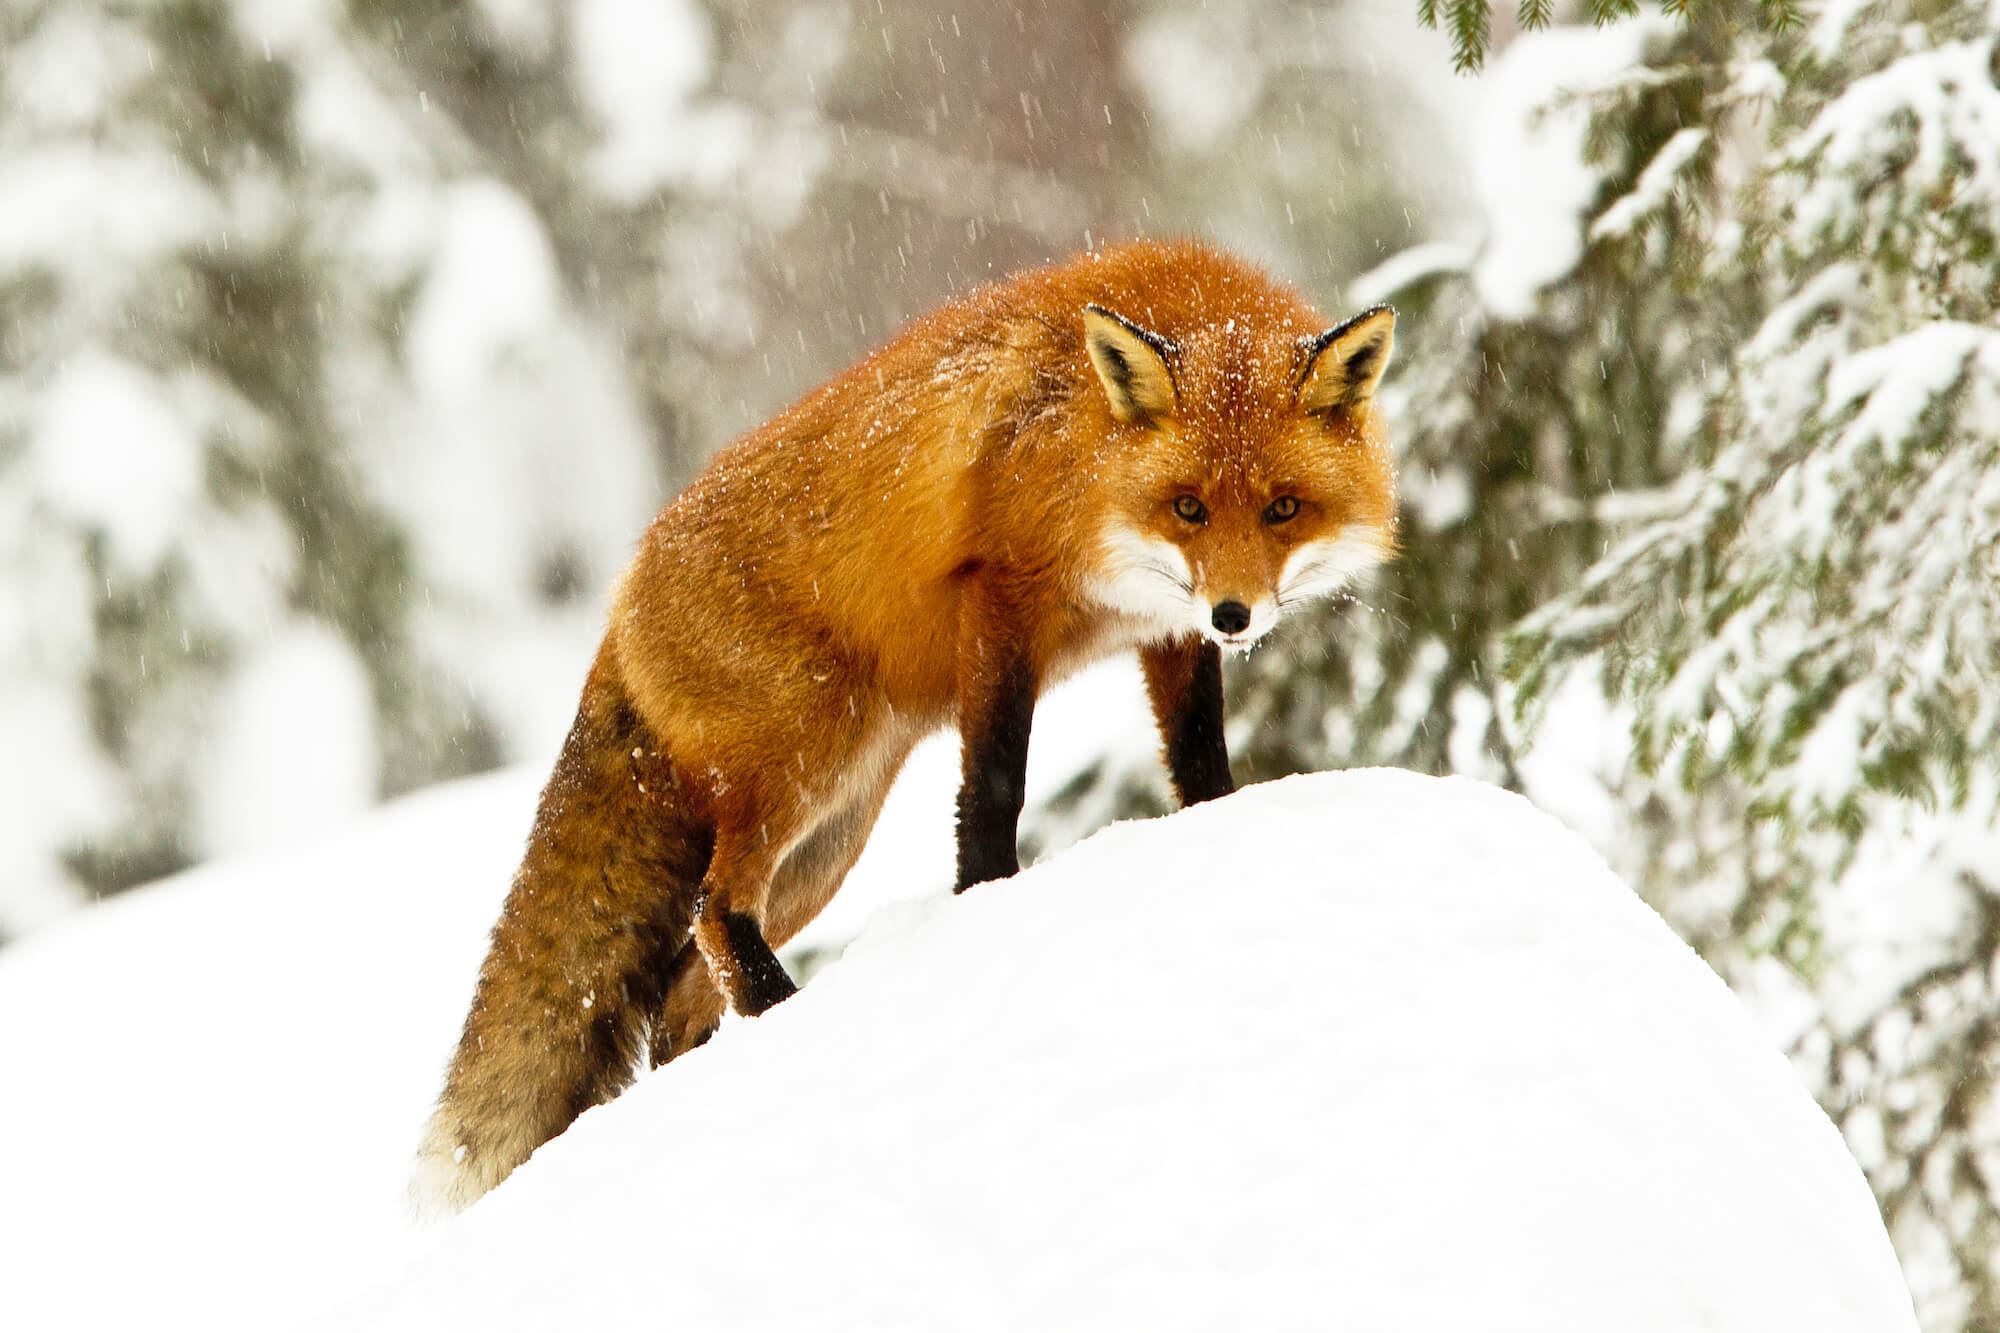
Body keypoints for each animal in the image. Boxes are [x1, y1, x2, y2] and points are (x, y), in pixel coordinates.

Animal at [414, 236, 1400, 1200]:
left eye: (1282, 507)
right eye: (1189, 506)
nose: (1236, 615)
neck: (1079, 447)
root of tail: (620, 601)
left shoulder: (1164, 629)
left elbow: (1200, 765)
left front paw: (1217, 829)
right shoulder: (1000, 596)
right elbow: (994, 791)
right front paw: (987, 901)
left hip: (831, 838)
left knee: (686, 979)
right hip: (810, 759)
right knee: (714, 910)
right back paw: (796, 1017)